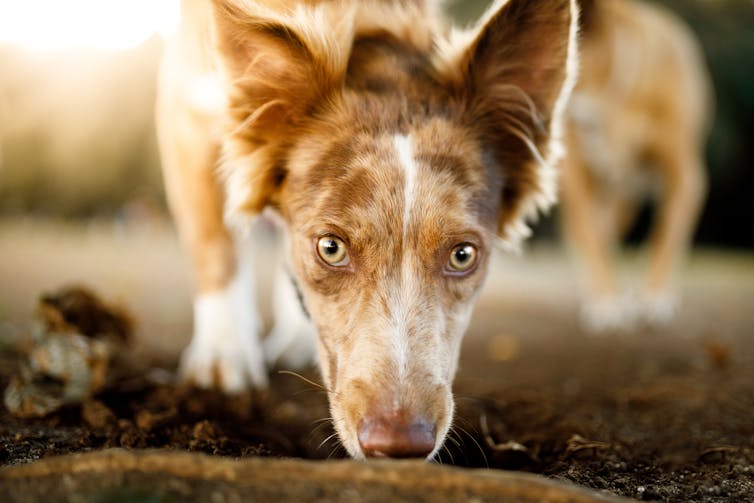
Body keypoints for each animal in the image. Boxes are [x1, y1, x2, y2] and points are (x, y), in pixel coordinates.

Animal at [153, 0, 576, 458]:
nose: (400, 444)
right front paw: (223, 355)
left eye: (463, 255)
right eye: (331, 248)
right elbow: (214, 242)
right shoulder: (186, 106)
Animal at [560, 0, 712, 334]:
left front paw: (655, 297)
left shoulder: (687, 178)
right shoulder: (577, 177)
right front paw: (606, 301)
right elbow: (591, 237)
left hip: (627, 200)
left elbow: (666, 236)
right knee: (595, 233)